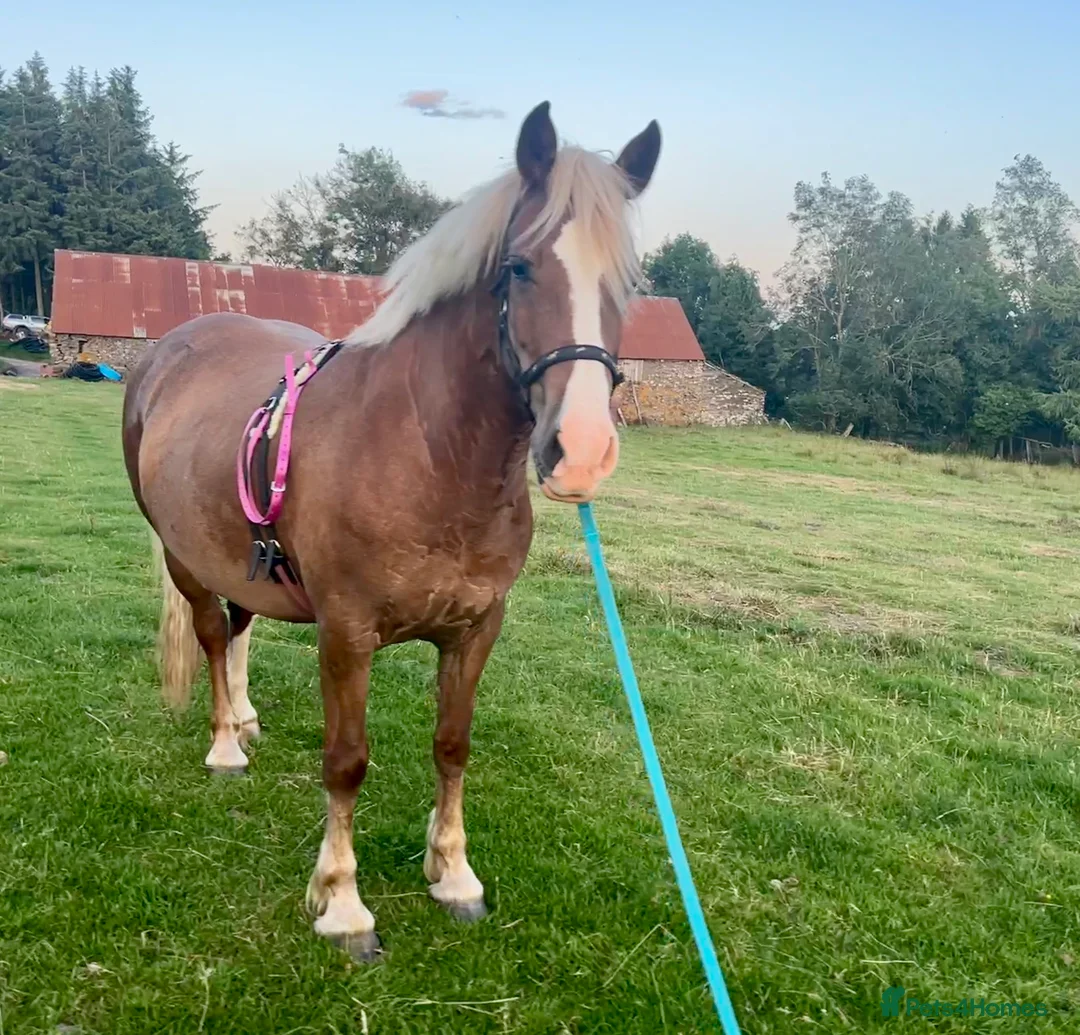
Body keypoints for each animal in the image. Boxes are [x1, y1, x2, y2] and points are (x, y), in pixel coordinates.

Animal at [121, 100, 661, 959]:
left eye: (628, 285)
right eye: (519, 268)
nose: (580, 452)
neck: (428, 451)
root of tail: (168, 351)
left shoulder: (476, 628)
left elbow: (452, 744)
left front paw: (453, 873)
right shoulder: (346, 634)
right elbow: (346, 762)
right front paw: (342, 902)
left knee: (240, 626)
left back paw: (244, 714)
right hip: (184, 556)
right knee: (210, 632)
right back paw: (225, 741)